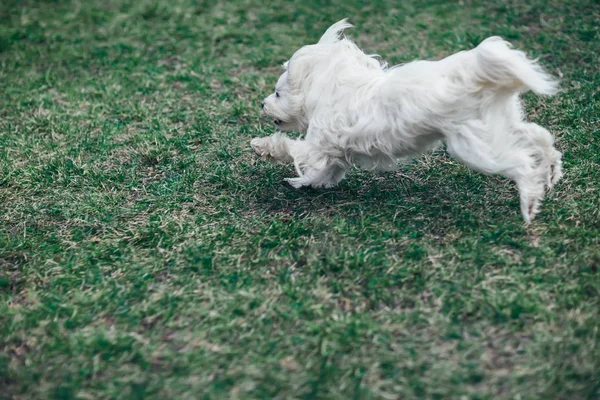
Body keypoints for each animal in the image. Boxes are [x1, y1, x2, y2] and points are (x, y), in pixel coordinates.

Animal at [250, 19, 564, 222]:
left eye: (277, 93)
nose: (262, 103)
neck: (326, 87)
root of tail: (473, 80)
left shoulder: (318, 144)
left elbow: (292, 149)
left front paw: (262, 147)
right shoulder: (334, 152)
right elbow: (324, 172)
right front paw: (304, 183)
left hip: (474, 148)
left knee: (521, 163)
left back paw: (530, 202)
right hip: (496, 127)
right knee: (538, 136)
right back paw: (551, 170)